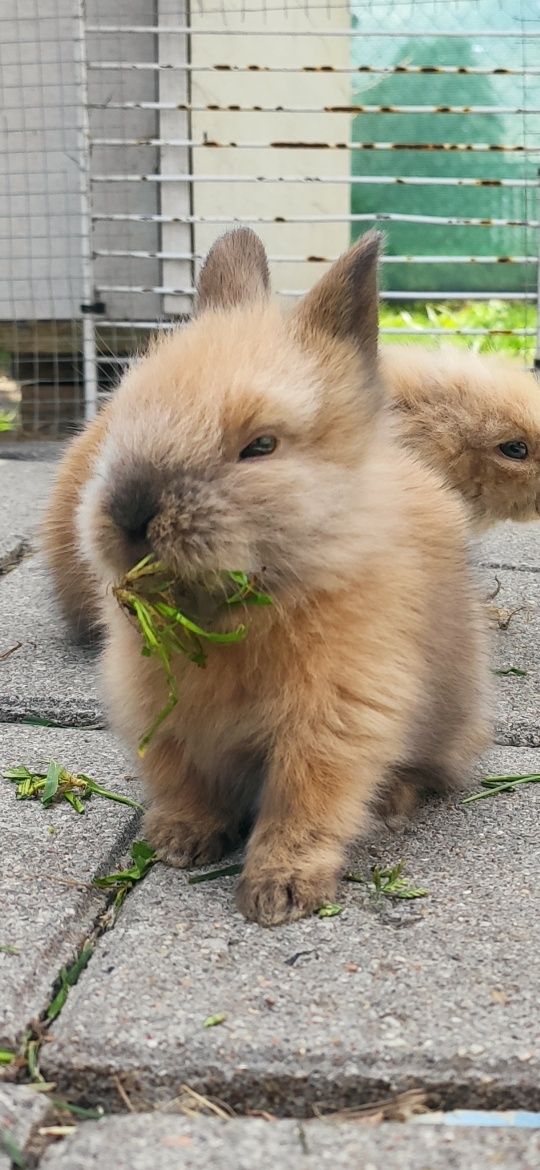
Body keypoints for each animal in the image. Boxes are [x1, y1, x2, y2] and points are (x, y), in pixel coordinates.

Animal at [42, 228, 488, 921]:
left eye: (261, 447)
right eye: (123, 416)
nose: (131, 515)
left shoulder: (335, 722)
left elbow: (303, 804)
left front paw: (279, 895)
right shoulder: (163, 720)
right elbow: (185, 782)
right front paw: (180, 842)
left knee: (429, 770)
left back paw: (391, 804)